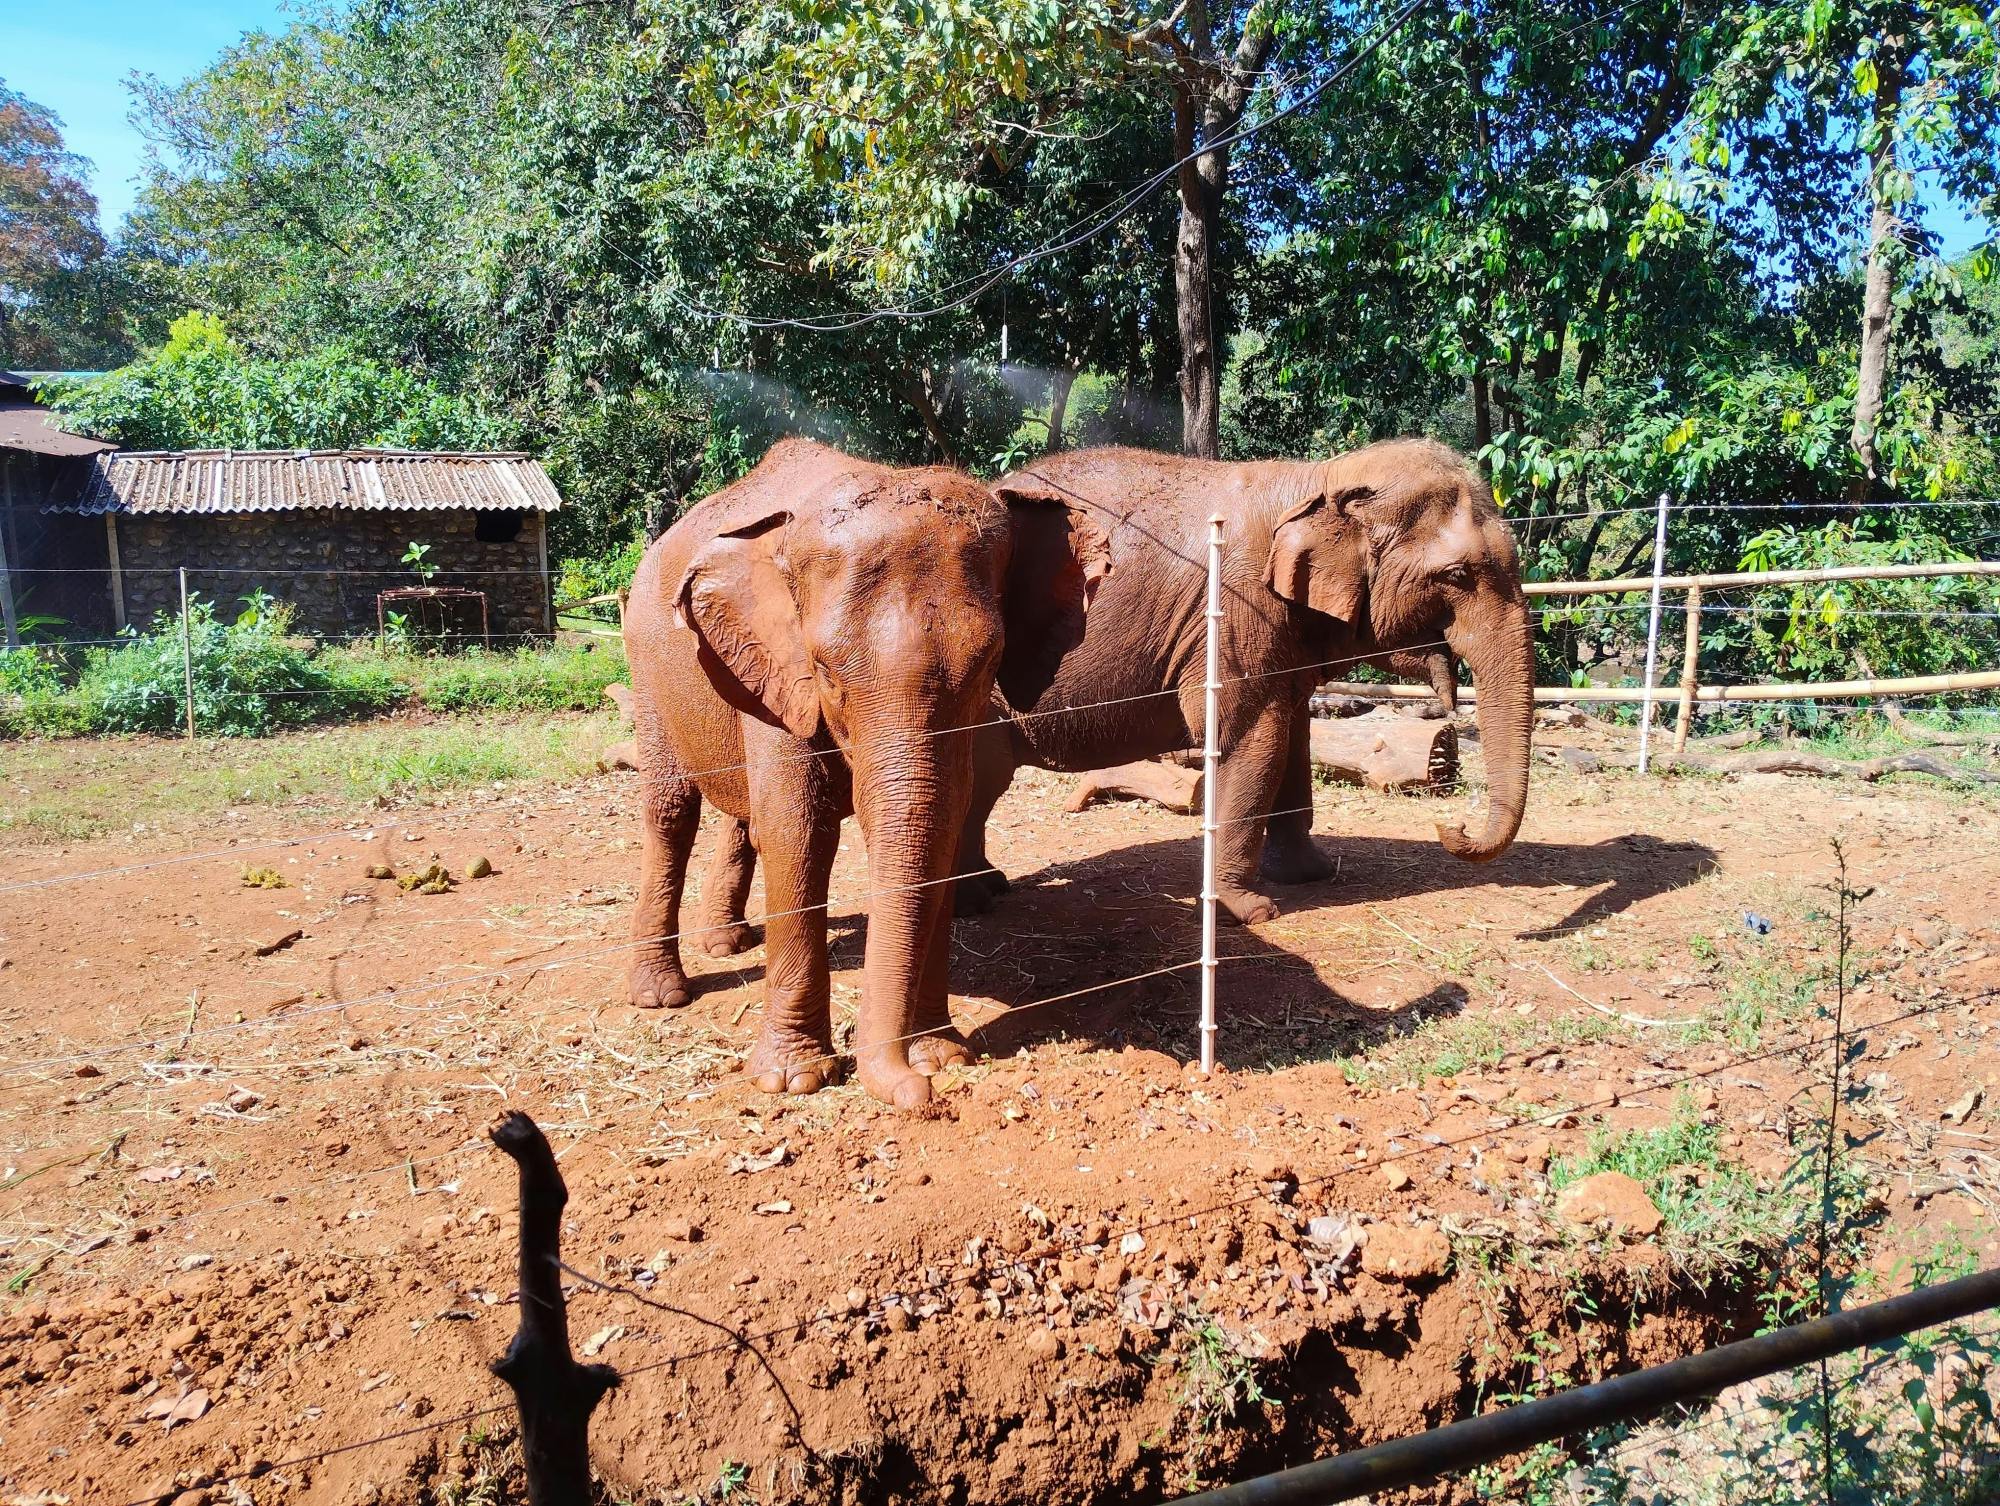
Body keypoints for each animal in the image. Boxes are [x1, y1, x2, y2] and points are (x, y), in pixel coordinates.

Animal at [623, 438, 1108, 1110]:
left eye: (990, 663)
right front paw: (793, 1079)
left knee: (739, 816)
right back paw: (661, 993)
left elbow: (944, 819)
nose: (917, 1094)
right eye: (825, 669)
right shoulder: (781, 673)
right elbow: (797, 833)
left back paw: (726, 942)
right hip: (647, 666)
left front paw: (942, 1054)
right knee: (672, 811)